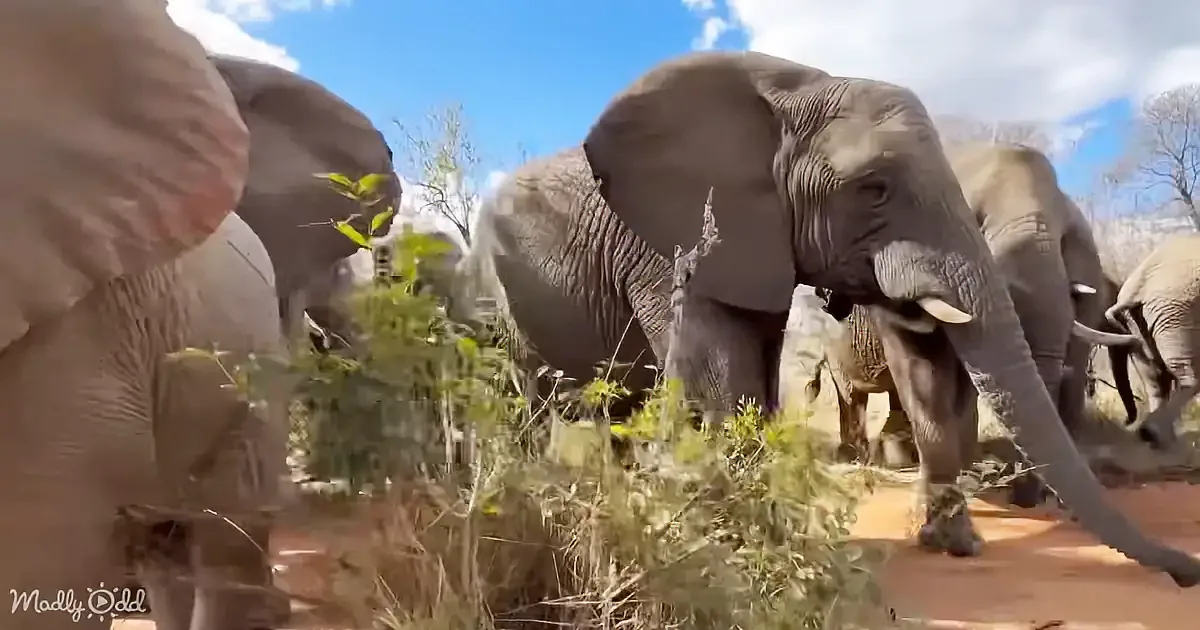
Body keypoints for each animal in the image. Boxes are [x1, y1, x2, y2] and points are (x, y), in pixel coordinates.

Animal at [1098, 234, 1200, 450]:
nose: (1125, 421)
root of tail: (1136, 289)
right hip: (1176, 317)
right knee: (1188, 377)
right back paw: (1154, 436)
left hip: (1139, 322)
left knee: (1153, 380)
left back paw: (1157, 439)